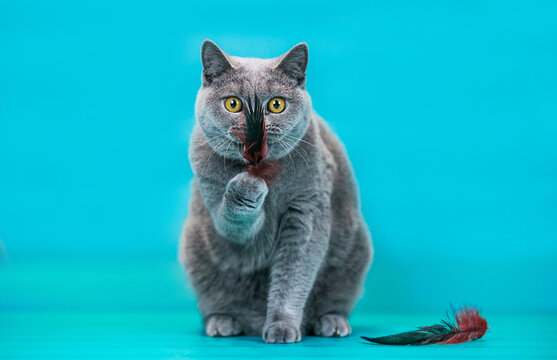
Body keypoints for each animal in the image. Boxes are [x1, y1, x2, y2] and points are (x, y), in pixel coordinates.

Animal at [180, 39, 372, 344]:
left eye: (276, 104)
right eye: (233, 104)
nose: (255, 130)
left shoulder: (307, 210)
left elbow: (293, 275)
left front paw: (281, 326)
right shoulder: (213, 196)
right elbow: (237, 224)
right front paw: (247, 187)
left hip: (355, 251)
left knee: (336, 298)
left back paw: (332, 322)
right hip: (193, 248)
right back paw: (223, 322)